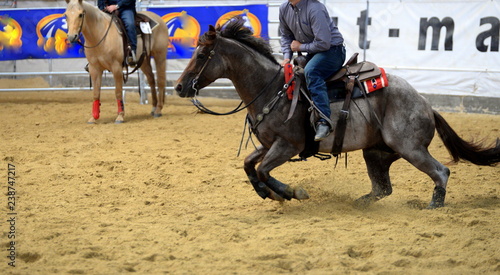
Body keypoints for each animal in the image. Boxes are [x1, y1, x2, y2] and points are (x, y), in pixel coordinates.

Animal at [176, 18, 500, 209]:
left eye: (202, 55)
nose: (180, 86)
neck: (272, 90)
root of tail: (425, 104)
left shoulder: (287, 145)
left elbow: (263, 170)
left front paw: (291, 192)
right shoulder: (269, 144)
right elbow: (249, 166)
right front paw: (269, 193)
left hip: (410, 148)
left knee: (441, 172)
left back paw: (433, 206)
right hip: (376, 153)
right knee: (382, 189)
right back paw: (359, 203)